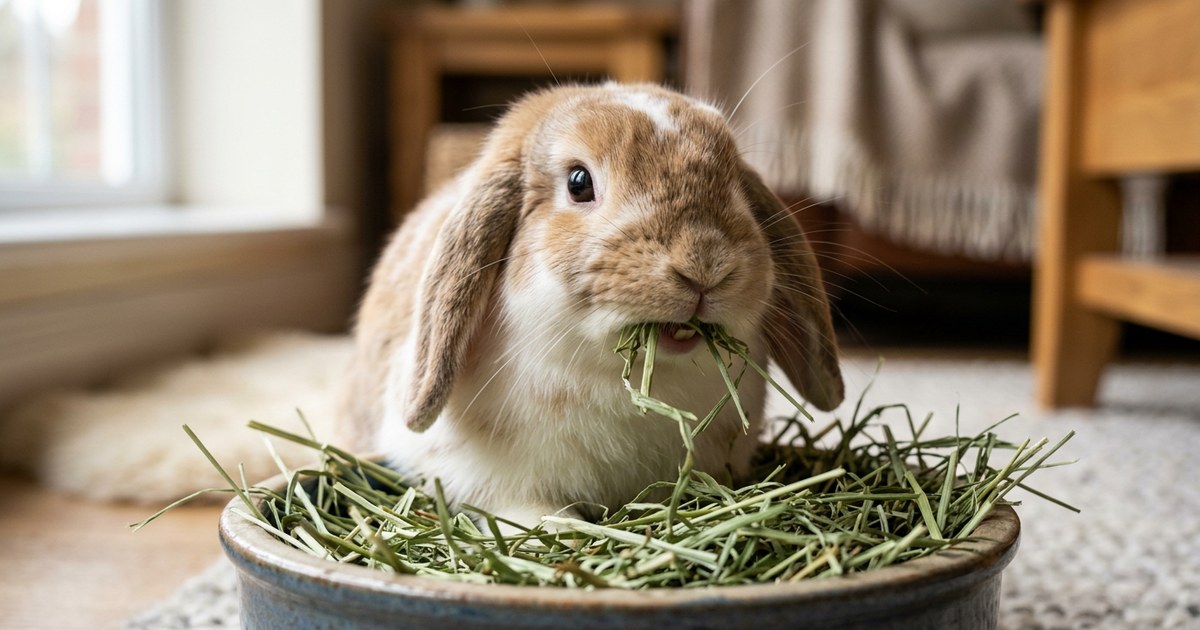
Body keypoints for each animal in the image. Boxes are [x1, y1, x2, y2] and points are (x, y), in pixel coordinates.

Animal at [336, 83, 843, 529]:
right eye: (579, 182)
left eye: (734, 180)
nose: (705, 264)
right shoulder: (491, 482)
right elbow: (535, 515)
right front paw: (568, 532)